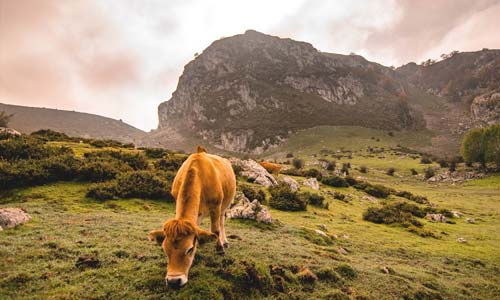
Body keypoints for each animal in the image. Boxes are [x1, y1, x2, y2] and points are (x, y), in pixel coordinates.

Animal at [147, 146, 235, 288]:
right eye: (165, 249)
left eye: (189, 249)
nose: (174, 281)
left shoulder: (216, 207)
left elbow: (215, 230)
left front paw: (219, 248)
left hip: (226, 203)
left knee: (221, 221)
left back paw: (225, 242)